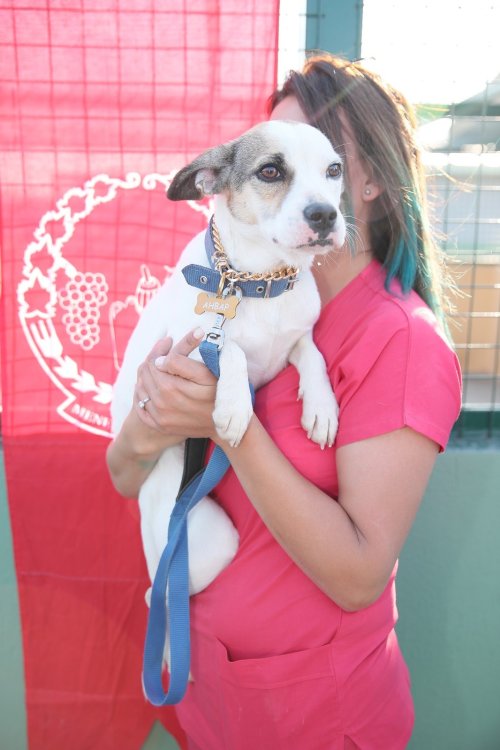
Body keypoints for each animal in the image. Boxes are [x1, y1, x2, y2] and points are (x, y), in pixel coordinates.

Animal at [111, 119, 346, 602]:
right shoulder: (180, 349)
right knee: (157, 591)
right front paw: (236, 406)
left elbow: (311, 352)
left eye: (334, 170)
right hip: (210, 539)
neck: (259, 282)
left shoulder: (297, 335)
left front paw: (322, 407)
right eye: (271, 171)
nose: (325, 215)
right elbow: (229, 347)